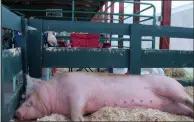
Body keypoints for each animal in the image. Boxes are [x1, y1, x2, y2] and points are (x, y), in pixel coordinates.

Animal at [14, 72, 194, 120]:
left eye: (29, 102)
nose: (16, 113)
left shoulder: (77, 93)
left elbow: (76, 109)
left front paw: (80, 120)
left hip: (170, 88)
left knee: (187, 99)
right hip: (170, 105)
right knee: (184, 108)